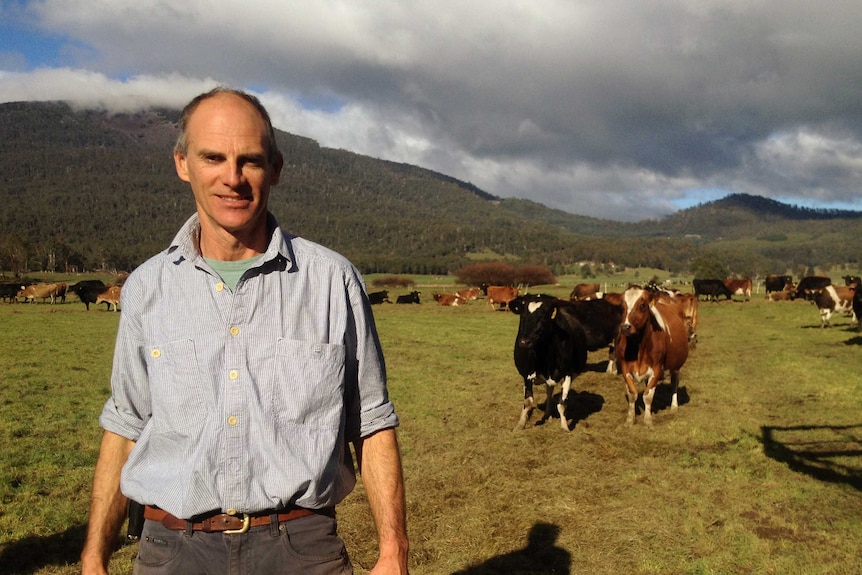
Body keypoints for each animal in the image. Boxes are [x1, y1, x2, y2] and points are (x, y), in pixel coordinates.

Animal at [510, 294, 592, 430]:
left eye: (543, 316)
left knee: (549, 391)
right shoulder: (528, 373)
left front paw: (565, 427)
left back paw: (548, 415)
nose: (524, 342)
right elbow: (528, 401)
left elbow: (562, 403)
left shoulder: (568, 372)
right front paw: (521, 424)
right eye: (523, 315)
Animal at [616, 288, 692, 428]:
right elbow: (632, 394)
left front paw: (648, 420)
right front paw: (630, 419)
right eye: (621, 307)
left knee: (674, 384)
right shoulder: (625, 369)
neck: (638, 347)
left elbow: (647, 395)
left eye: (642, 305)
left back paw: (674, 407)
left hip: (676, 366)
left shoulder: (656, 369)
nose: (625, 327)